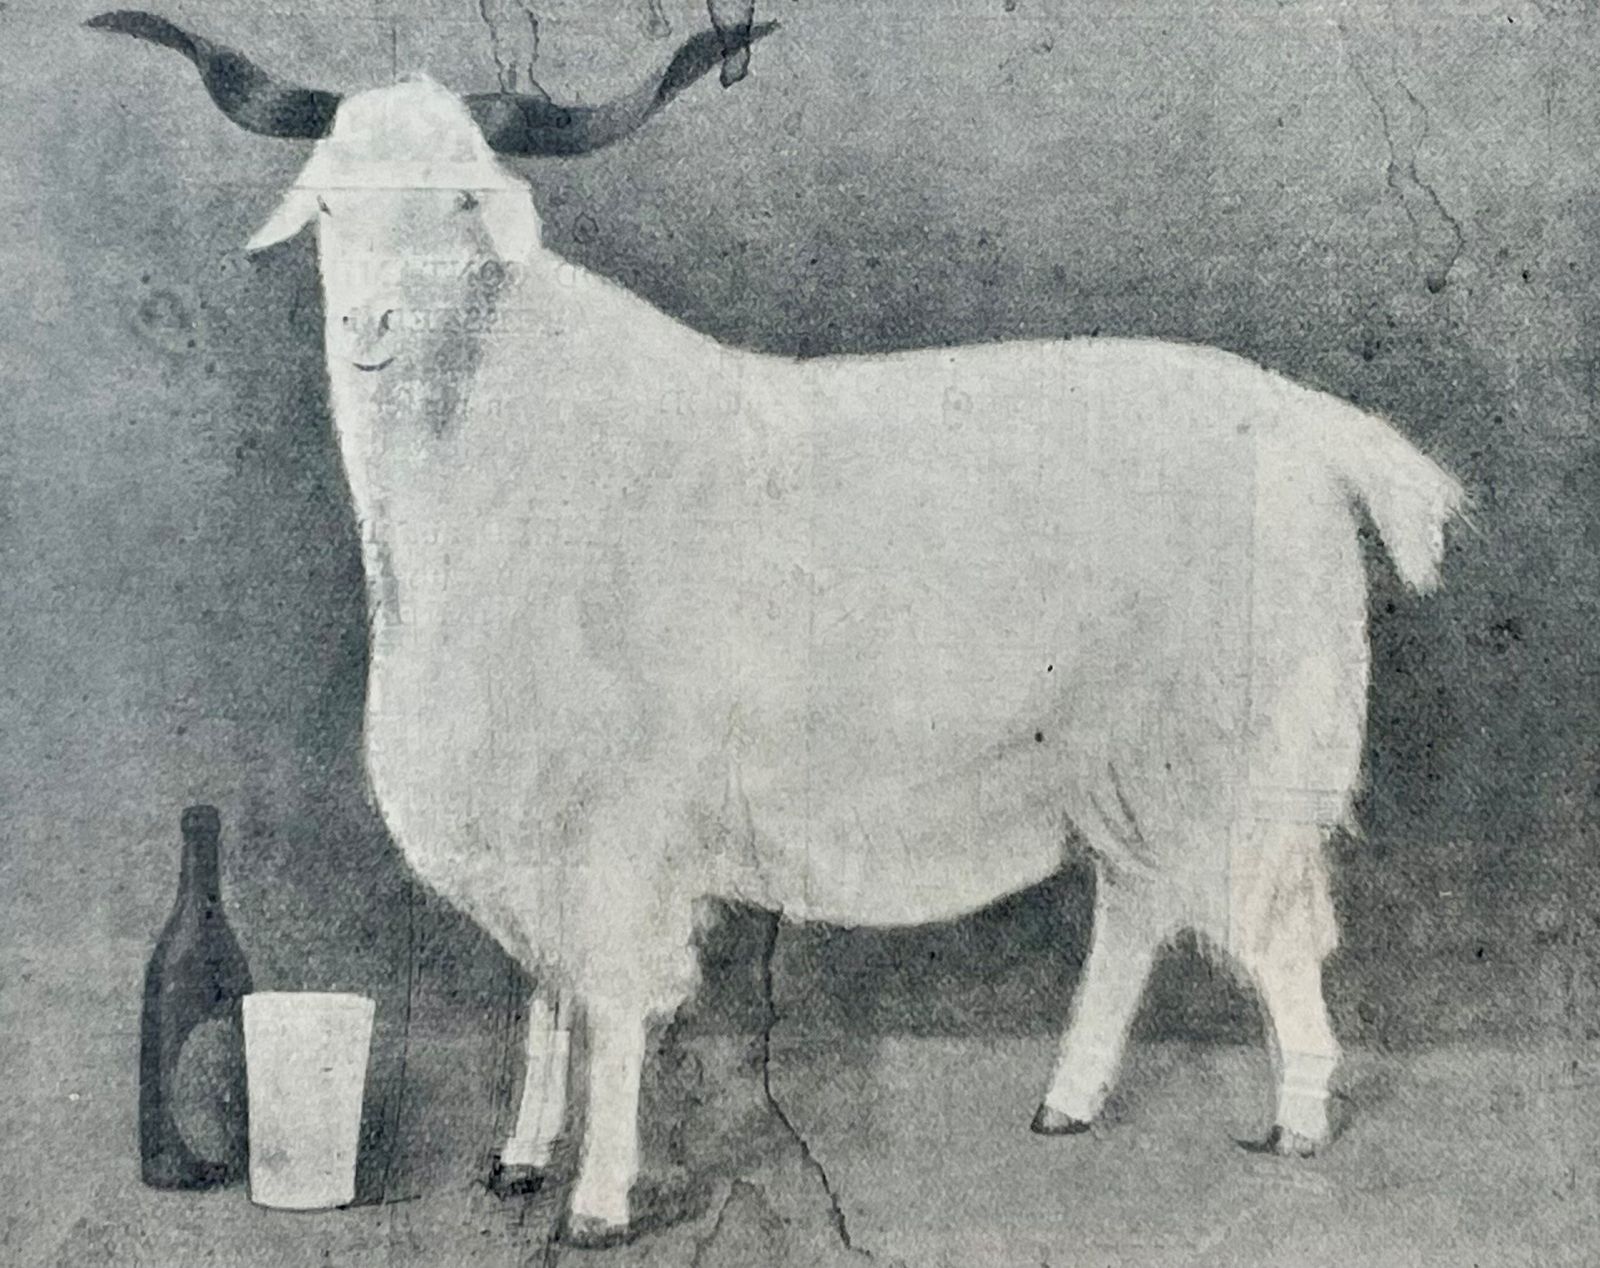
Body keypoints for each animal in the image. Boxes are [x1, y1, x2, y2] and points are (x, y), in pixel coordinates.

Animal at [96, 13, 1465, 1249]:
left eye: (466, 207)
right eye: (330, 208)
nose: (369, 329)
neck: (506, 443)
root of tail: (1314, 430)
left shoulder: (621, 821)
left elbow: (610, 994)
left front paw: (598, 1198)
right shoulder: (534, 814)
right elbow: (545, 993)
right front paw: (519, 1157)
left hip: (1237, 744)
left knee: (1276, 923)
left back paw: (1295, 1121)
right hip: (1121, 761)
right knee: (1134, 910)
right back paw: (1069, 1100)